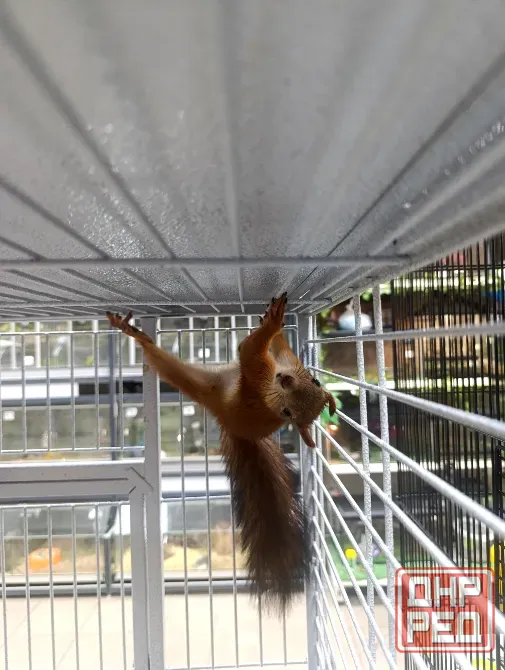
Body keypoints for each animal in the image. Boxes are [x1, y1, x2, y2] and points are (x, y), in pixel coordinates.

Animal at [106, 293, 336, 611]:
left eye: (288, 413)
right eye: (315, 381)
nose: (286, 381)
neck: (273, 382)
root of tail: (234, 428)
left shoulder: (257, 378)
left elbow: (249, 350)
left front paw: (272, 323)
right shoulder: (286, 363)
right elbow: (280, 348)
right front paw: (275, 324)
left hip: (199, 384)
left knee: (166, 364)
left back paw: (140, 338)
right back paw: (133, 331)